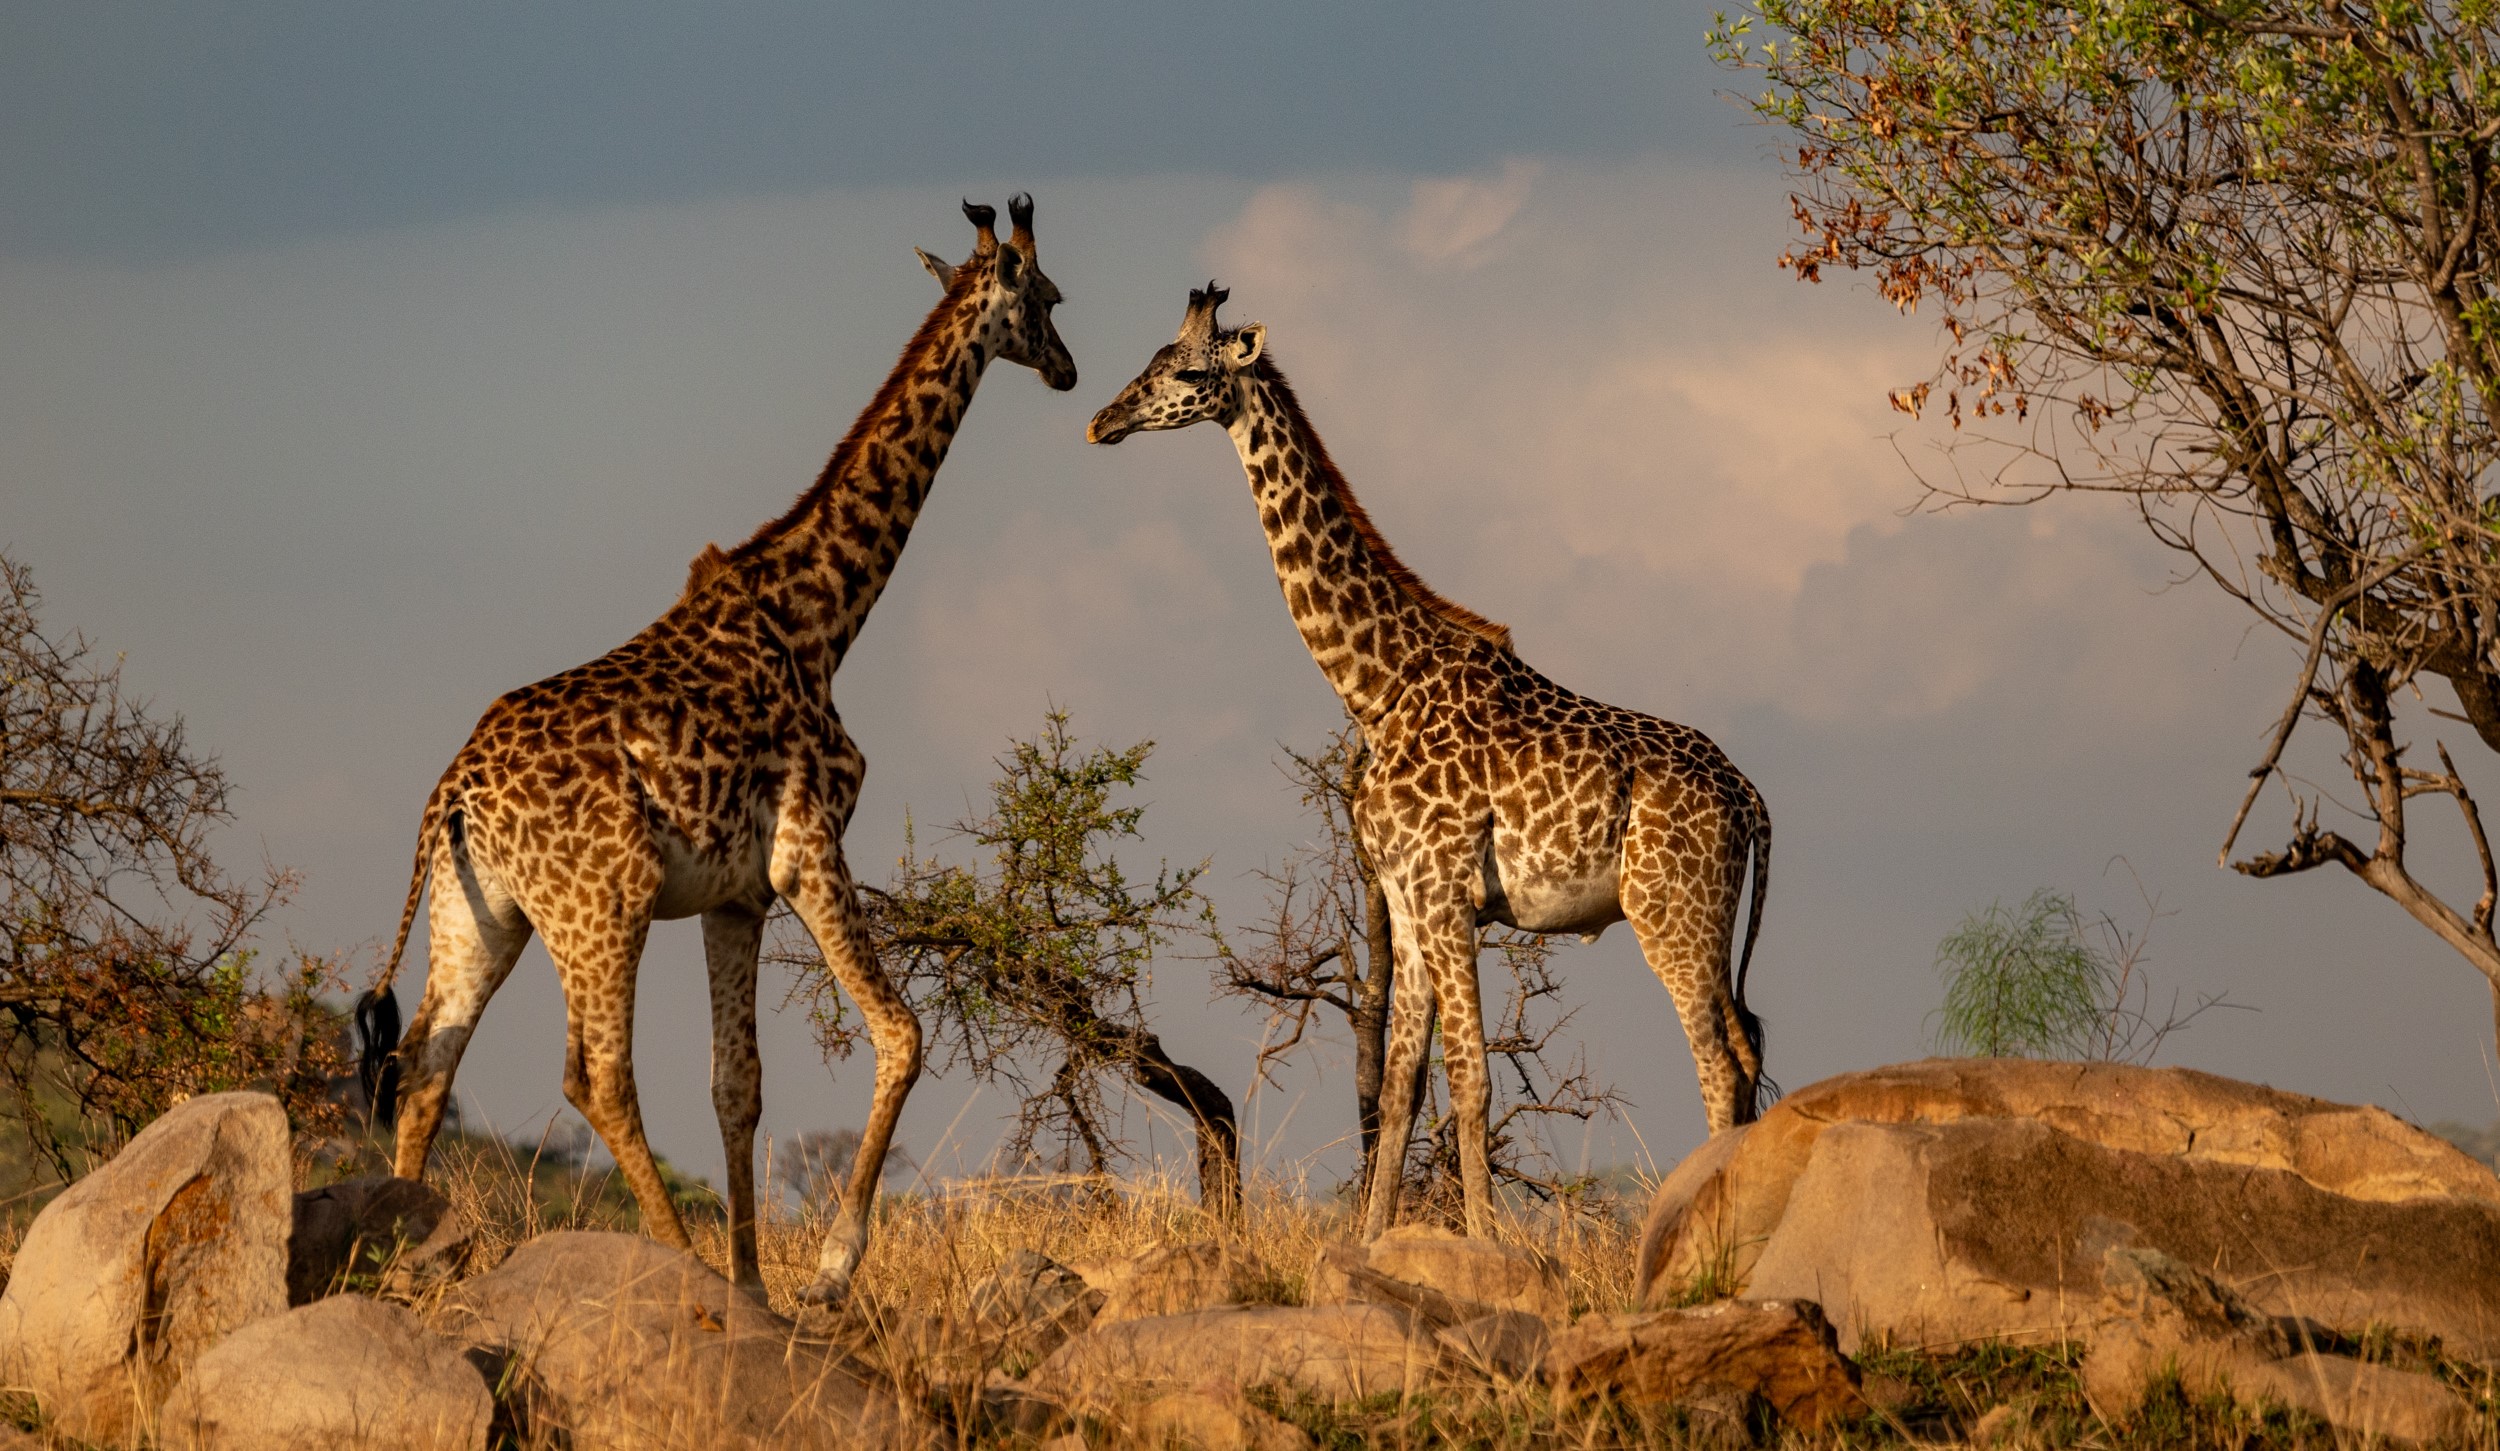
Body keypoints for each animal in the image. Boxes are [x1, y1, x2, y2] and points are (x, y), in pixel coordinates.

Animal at [360, 195, 1075, 1300]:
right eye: (1048, 297)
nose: (1070, 369)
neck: (821, 615)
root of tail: (455, 795)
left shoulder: (733, 892)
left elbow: (737, 1083)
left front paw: (755, 1286)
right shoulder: (809, 847)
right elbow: (900, 1033)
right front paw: (827, 1265)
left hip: (481, 913)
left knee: (429, 1060)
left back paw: (407, 1257)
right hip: (602, 903)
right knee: (594, 1073)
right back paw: (672, 1255)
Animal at [1095, 283, 1780, 1235]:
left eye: (1188, 374)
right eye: (1150, 362)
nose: (1103, 420)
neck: (1376, 686)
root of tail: (1749, 796)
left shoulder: (1448, 892)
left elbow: (1471, 1080)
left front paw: (1490, 1244)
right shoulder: (1406, 897)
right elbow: (1399, 1088)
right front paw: (1372, 1239)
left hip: (1670, 910)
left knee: (1719, 1058)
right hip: (1703, 918)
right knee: (1749, 1044)